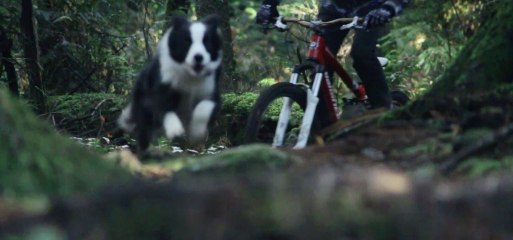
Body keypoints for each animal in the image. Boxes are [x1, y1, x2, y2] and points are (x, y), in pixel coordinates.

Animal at [118, 15, 222, 152]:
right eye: (187, 41)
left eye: (207, 41)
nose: (198, 57)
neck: (190, 76)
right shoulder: (162, 87)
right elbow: (165, 109)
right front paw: (175, 130)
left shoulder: (211, 90)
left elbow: (204, 108)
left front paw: (197, 132)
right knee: (144, 133)